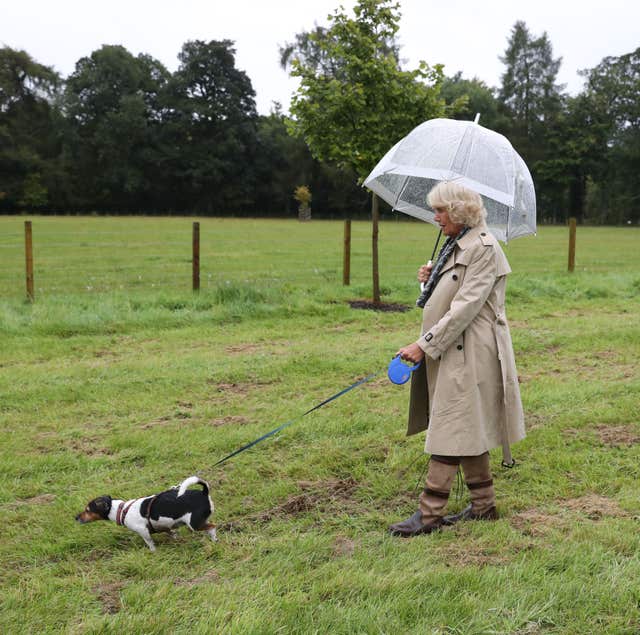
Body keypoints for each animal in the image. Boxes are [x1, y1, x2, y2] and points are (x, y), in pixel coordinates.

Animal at [76, 476, 216, 552]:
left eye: (87, 510)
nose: (76, 517)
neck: (121, 510)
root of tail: (203, 493)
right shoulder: (164, 526)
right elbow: (172, 533)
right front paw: (176, 539)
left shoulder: (143, 531)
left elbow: (149, 543)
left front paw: (153, 552)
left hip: (194, 524)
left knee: (213, 526)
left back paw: (214, 540)